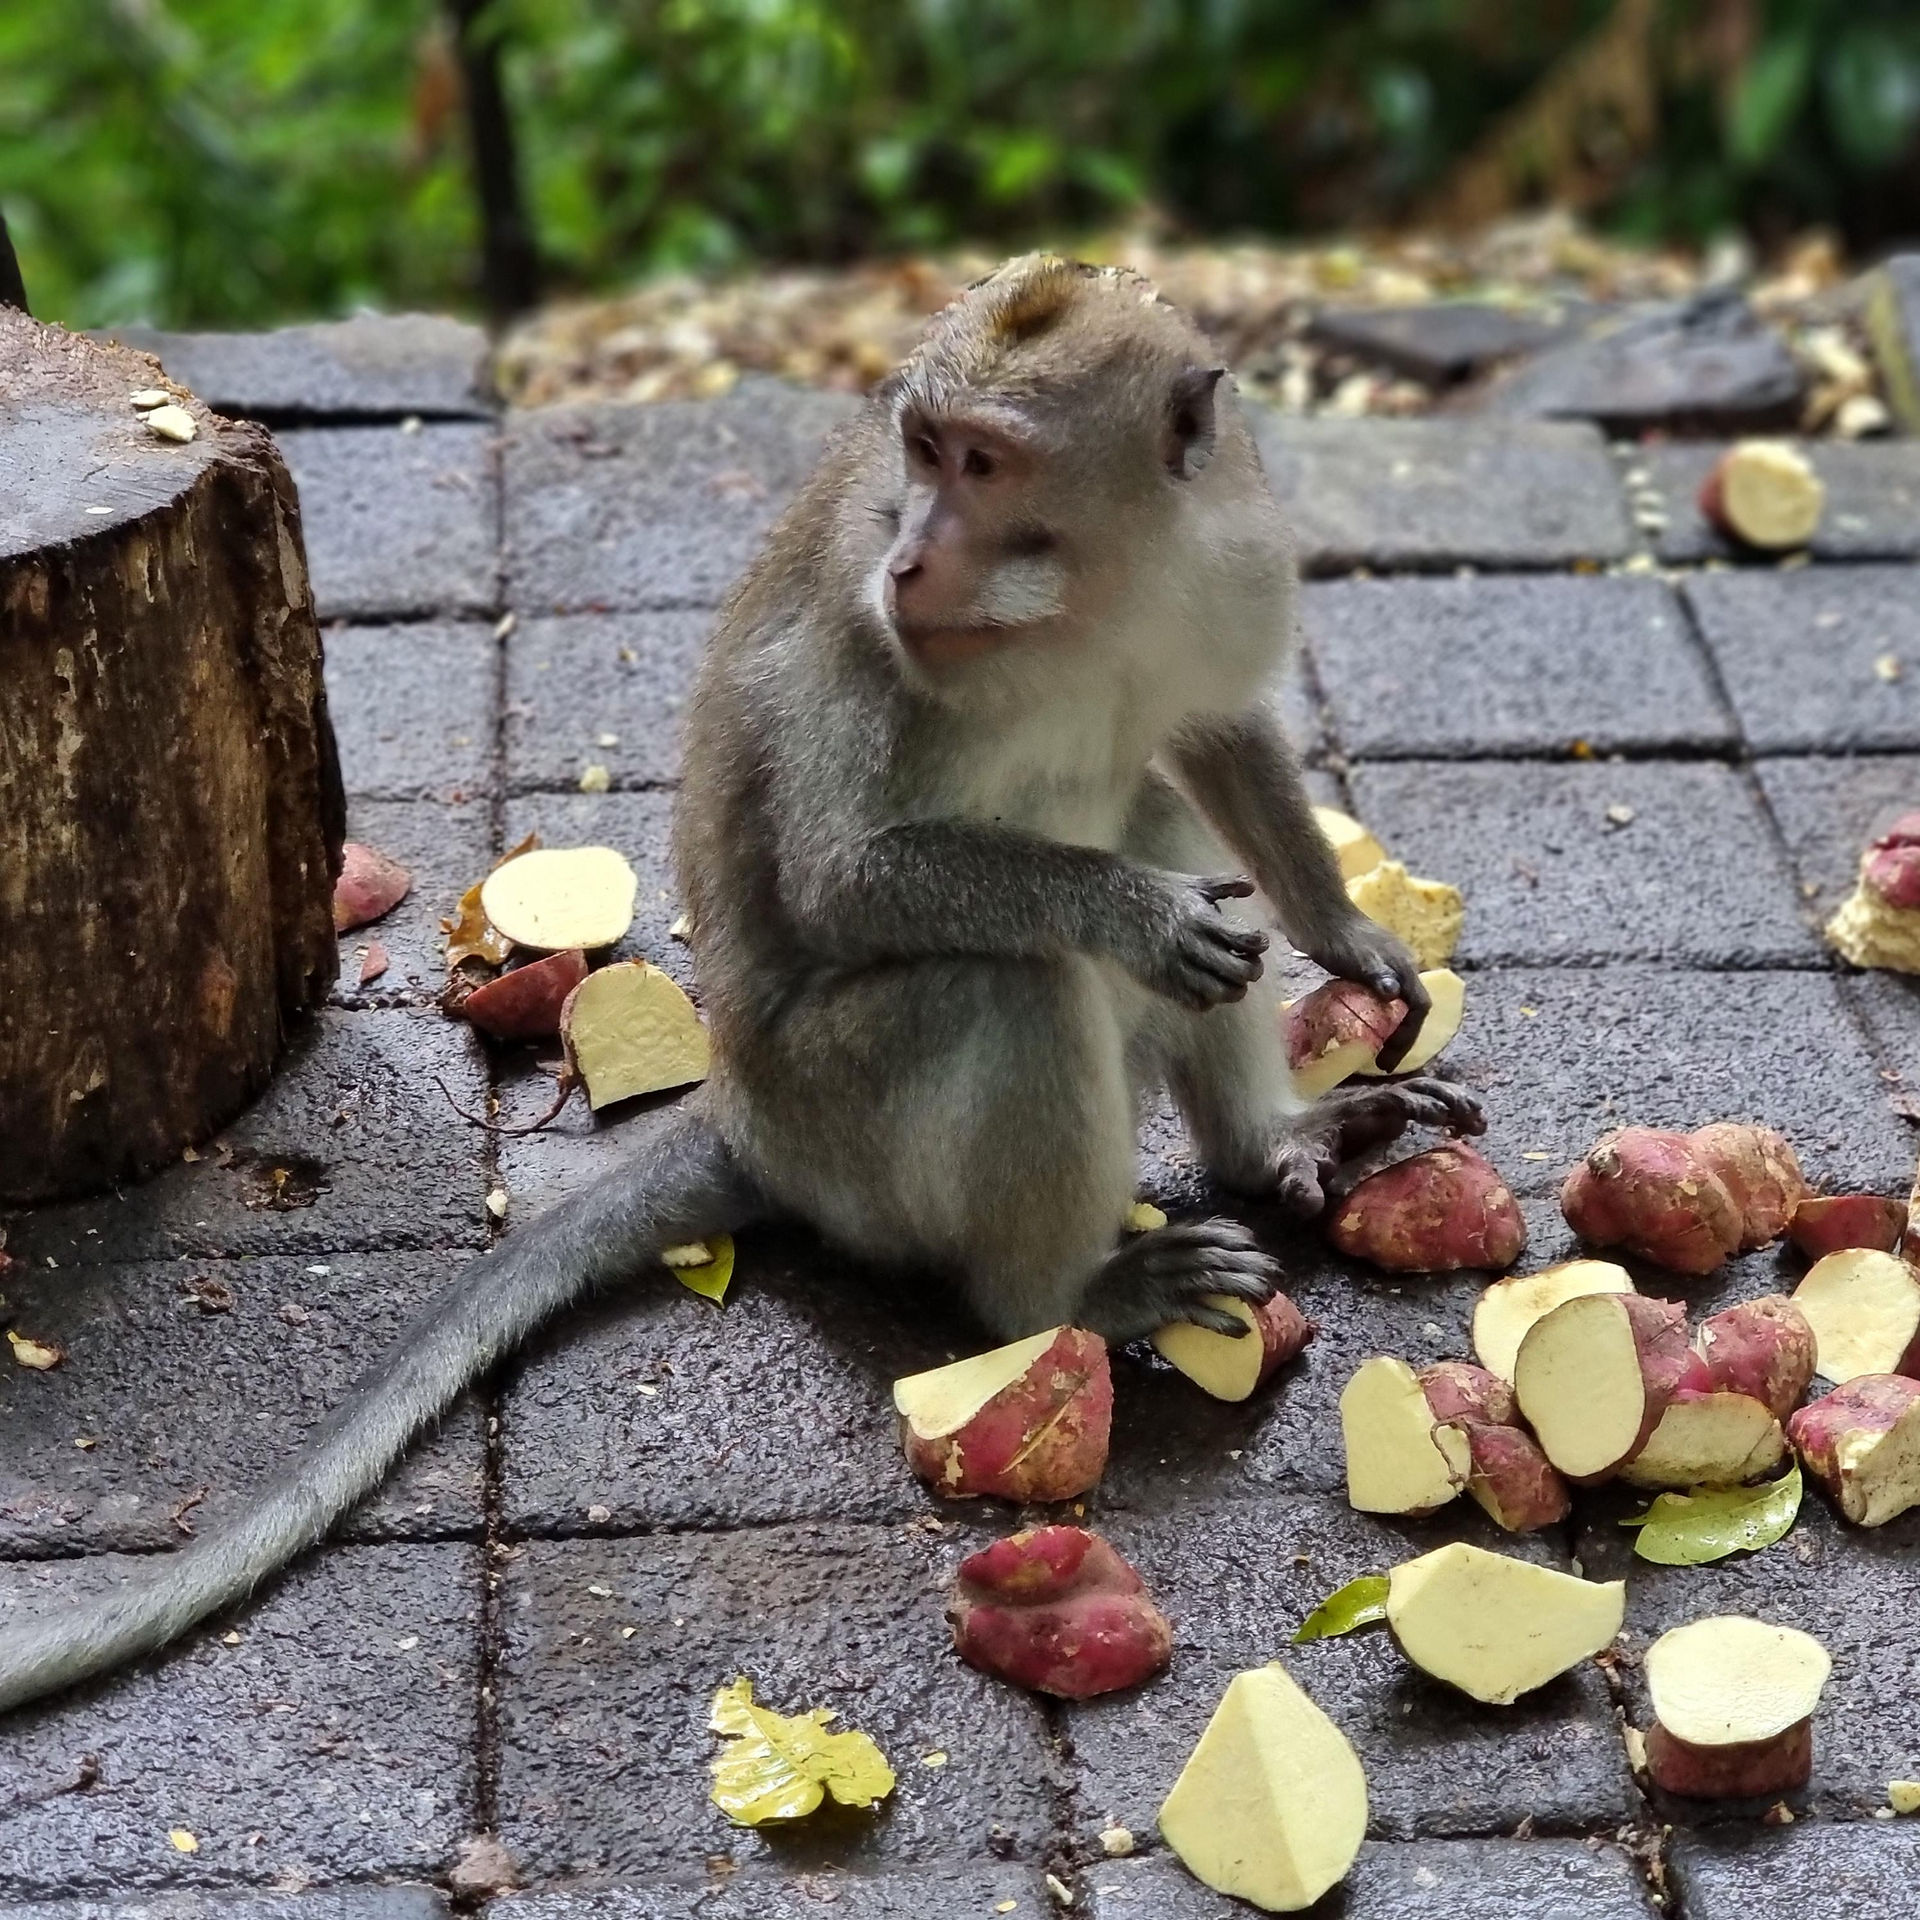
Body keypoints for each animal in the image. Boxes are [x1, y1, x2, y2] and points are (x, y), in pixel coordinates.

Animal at [0, 256, 1482, 1714]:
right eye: (924, 454)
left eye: (986, 463)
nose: (912, 553)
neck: (1093, 598)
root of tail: (749, 1120)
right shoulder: (889, 648)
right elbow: (842, 878)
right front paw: (1127, 911)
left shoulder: (1224, 558)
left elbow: (1219, 733)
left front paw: (1345, 933)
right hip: (844, 1114)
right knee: (1011, 986)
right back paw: (1065, 1297)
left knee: (1159, 818)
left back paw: (1267, 1150)